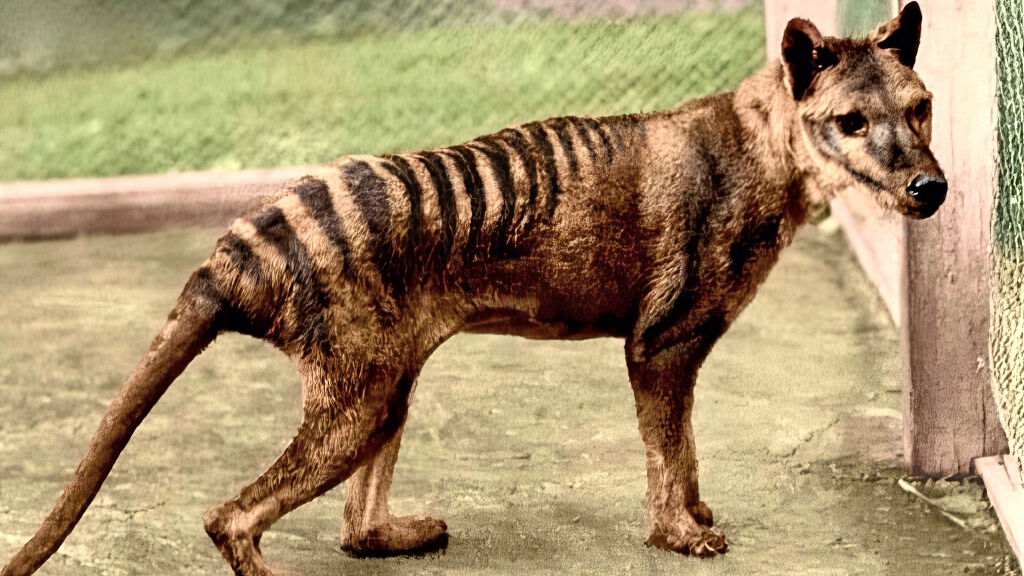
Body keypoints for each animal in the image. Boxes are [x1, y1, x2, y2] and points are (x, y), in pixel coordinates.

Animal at [2, 3, 945, 575]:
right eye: (850, 121)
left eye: (921, 106)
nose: (929, 188)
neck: (765, 148)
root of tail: (234, 251)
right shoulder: (660, 346)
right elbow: (667, 453)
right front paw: (679, 532)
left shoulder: (677, 354)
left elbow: (687, 450)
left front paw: (695, 510)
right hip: (356, 401)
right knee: (229, 517)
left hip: (387, 385)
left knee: (353, 528)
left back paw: (395, 533)